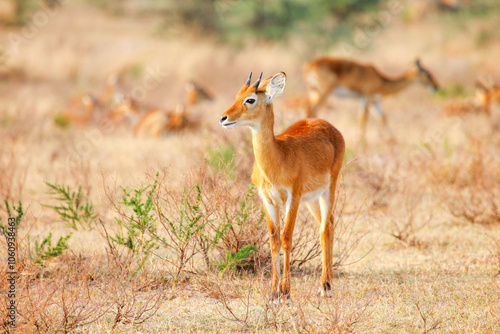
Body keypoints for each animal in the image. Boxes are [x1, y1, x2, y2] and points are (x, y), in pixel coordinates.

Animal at [221, 72, 346, 302]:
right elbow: (273, 240)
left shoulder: (292, 198)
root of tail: (327, 125)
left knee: (325, 229)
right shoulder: (268, 200)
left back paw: (325, 287)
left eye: (250, 99)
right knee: (329, 224)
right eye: (237, 95)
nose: (224, 118)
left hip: (328, 189)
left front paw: (286, 292)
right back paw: (327, 281)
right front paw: (273, 292)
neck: (278, 158)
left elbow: (286, 237)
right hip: (311, 200)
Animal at [302, 57, 440, 142]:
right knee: (310, 110)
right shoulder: (366, 98)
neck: (380, 81)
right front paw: (361, 143)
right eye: (427, 73)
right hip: (322, 93)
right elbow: (363, 119)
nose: (435, 87)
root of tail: (309, 65)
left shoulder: (375, 101)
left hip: (314, 92)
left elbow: (382, 119)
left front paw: (393, 141)